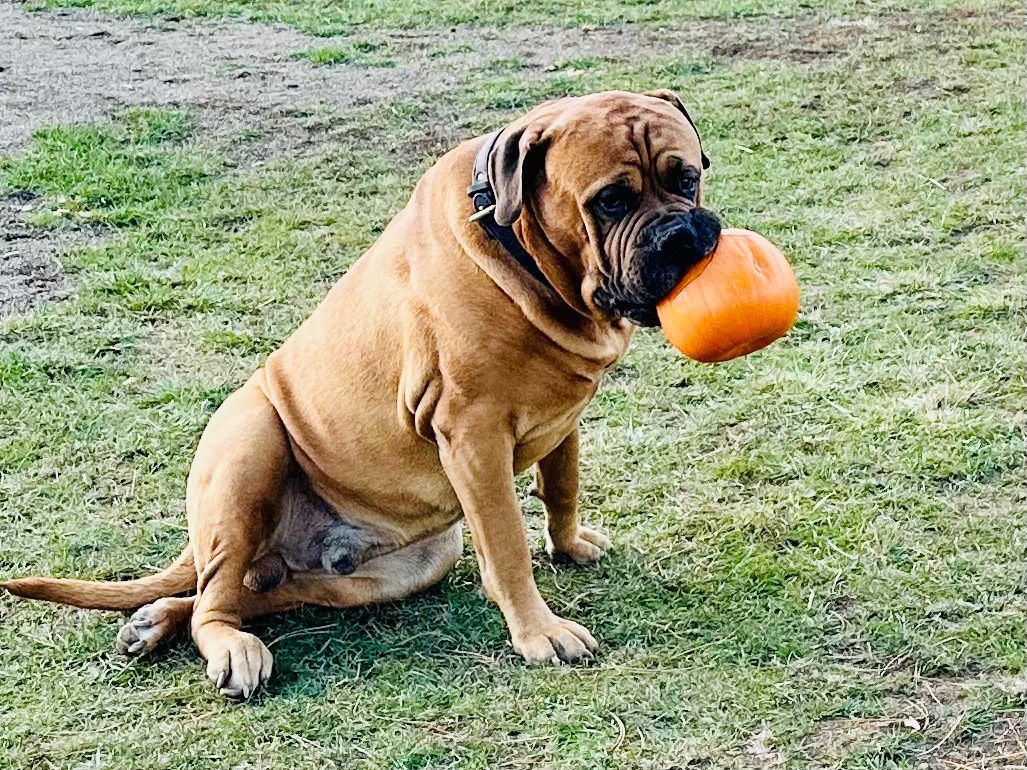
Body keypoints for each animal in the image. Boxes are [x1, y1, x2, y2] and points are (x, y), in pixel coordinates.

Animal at [2, 88, 723, 698]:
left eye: (686, 178)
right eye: (610, 201)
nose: (683, 235)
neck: (526, 256)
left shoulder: (562, 417)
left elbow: (562, 486)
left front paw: (569, 547)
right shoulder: (473, 437)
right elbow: (508, 544)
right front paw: (539, 632)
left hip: (405, 564)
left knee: (261, 591)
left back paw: (154, 621)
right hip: (250, 442)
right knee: (217, 600)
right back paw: (228, 648)